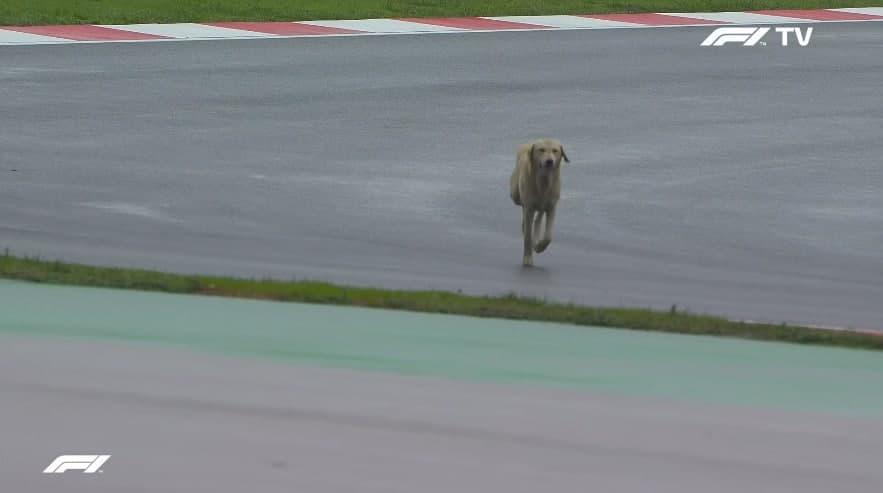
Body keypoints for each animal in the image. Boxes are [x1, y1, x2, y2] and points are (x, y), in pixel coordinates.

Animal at [512, 138, 572, 268]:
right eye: (541, 150)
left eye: (555, 150)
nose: (549, 161)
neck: (544, 182)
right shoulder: (529, 207)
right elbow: (528, 237)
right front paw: (528, 258)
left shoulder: (552, 206)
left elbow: (548, 236)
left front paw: (540, 247)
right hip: (515, 194)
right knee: (526, 214)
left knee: (539, 214)